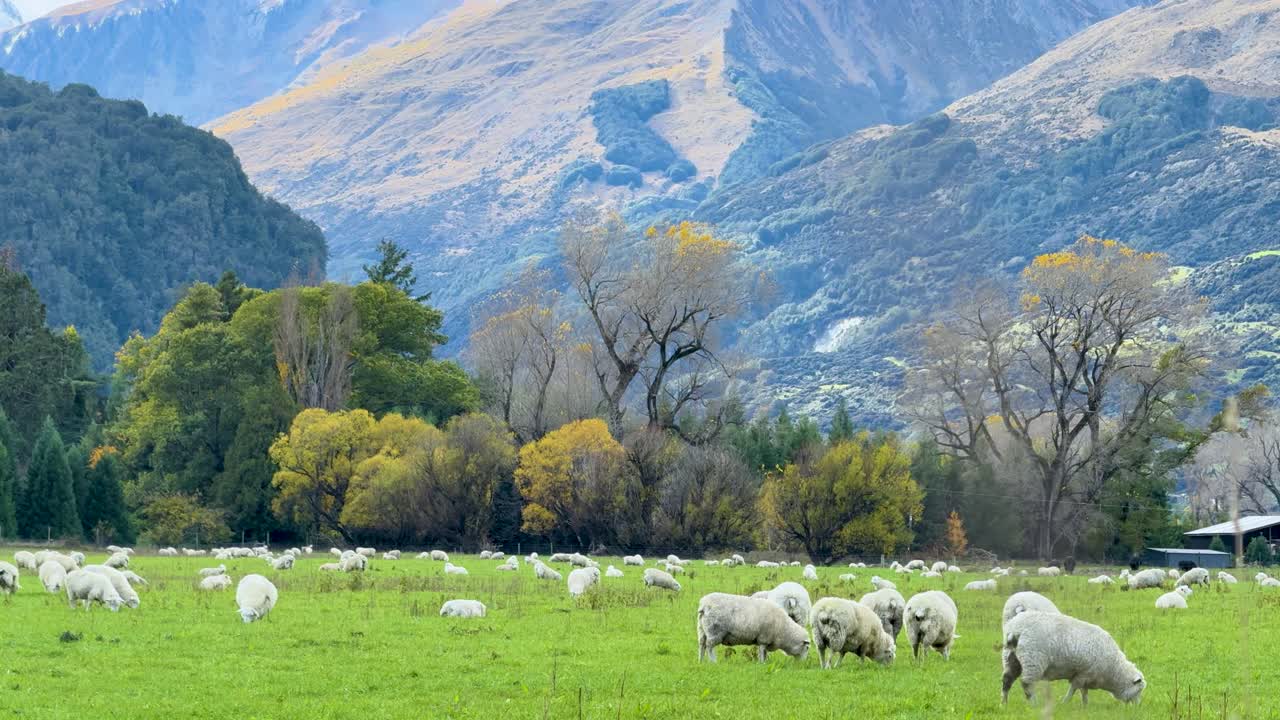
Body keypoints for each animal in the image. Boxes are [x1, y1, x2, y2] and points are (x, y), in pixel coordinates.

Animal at [1002, 611, 1145, 706]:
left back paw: (1003, 703)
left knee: (1007, 680)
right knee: (1027, 684)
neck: (1114, 669)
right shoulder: (1083, 674)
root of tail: (1016, 629)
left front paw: (1085, 706)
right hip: (1033, 659)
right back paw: (1034, 704)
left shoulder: (1085, 676)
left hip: (1011, 658)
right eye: (1139, 690)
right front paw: (1065, 702)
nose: (1137, 707)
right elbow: (1074, 689)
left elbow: (1084, 692)